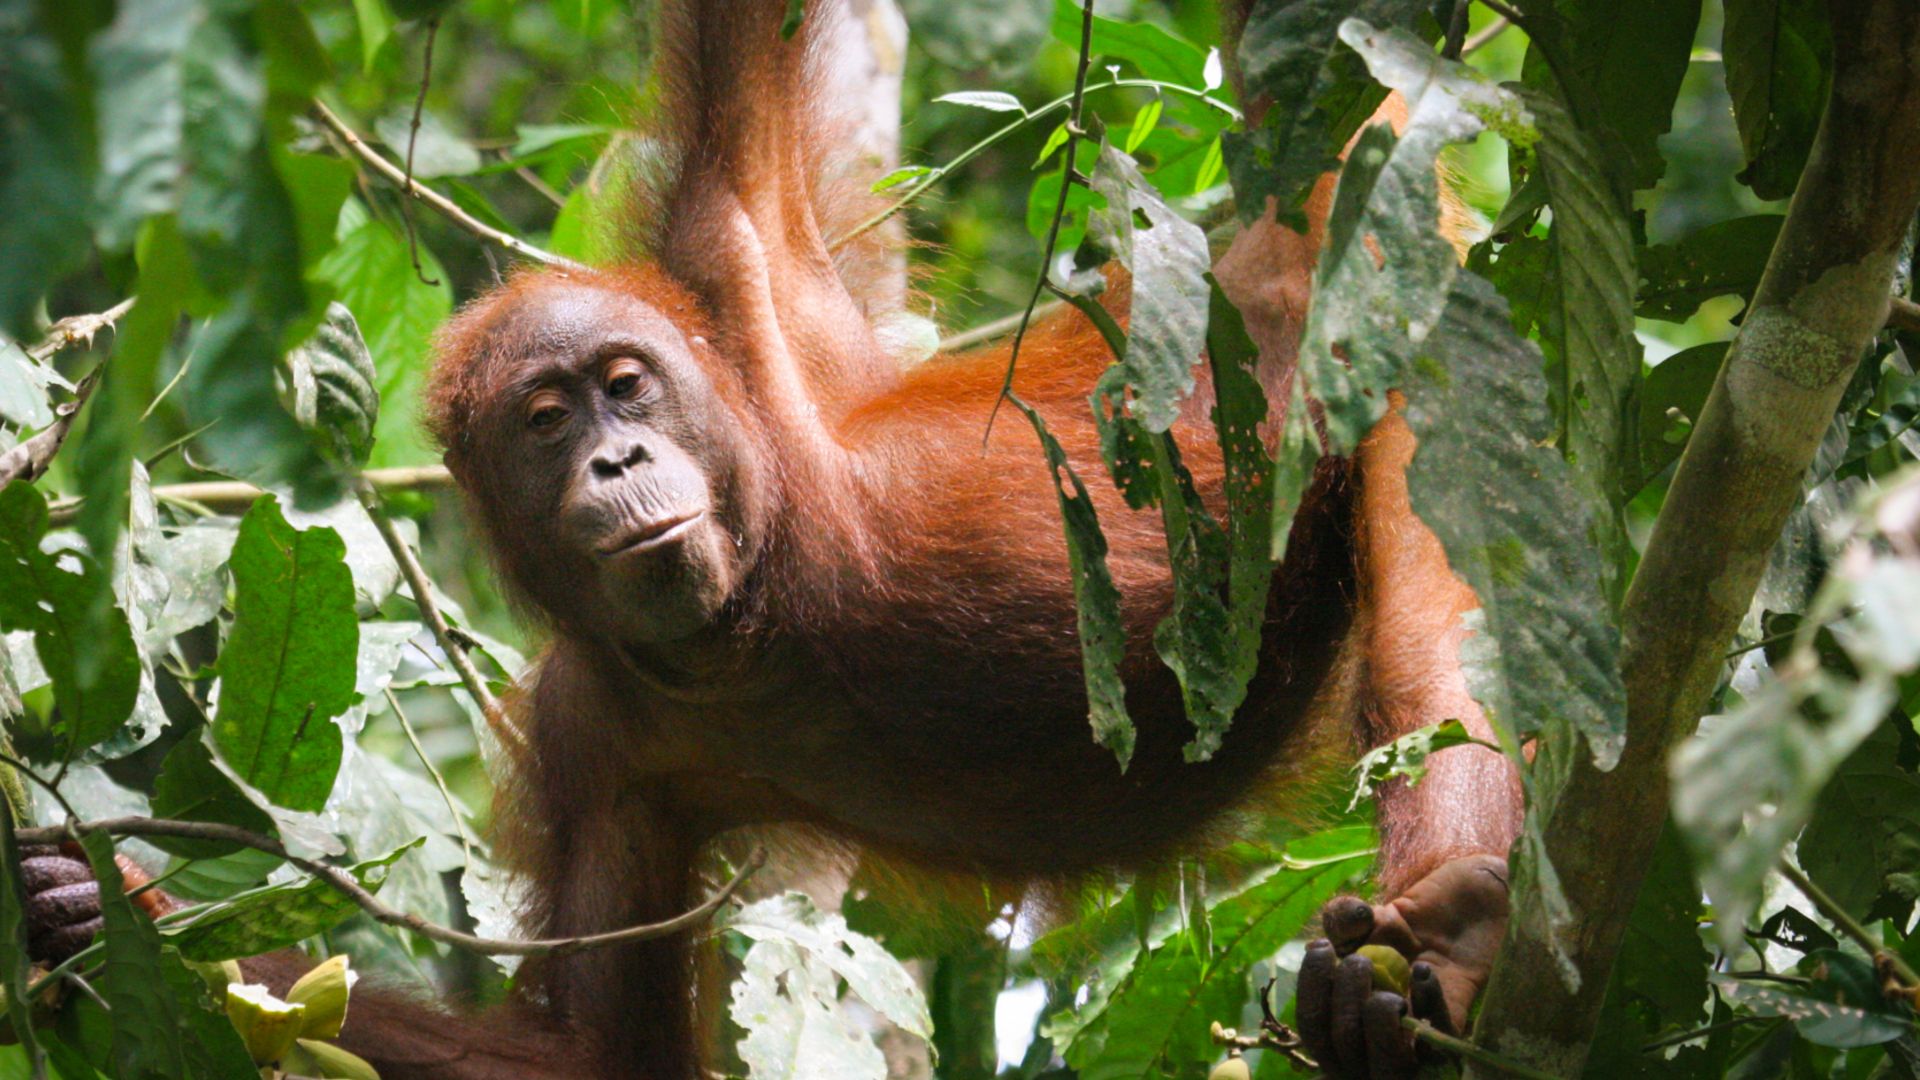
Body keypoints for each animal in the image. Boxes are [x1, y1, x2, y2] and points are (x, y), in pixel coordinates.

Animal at [20, 3, 1523, 1077]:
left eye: (627, 387)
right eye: (545, 422)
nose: (617, 461)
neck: (758, 613)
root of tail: (1275, 242)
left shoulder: (733, 262)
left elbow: (748, 50)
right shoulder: (587, 741)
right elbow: (592, 1056)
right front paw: (93, 917)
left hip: (1385, 311)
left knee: (1445, 643)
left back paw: (1441, 945)